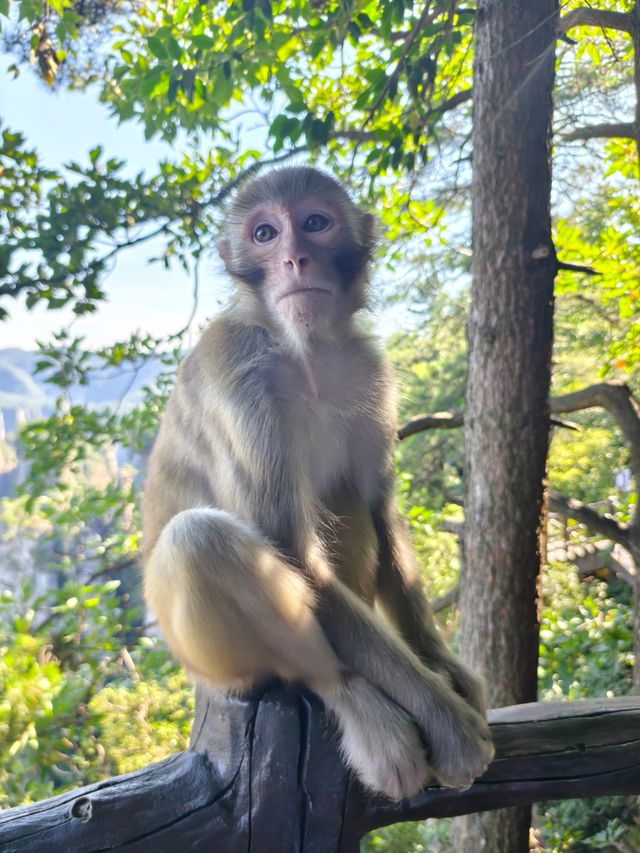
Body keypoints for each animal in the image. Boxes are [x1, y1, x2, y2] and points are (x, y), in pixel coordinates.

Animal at [144, 165, 496, 800]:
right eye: (264, 234)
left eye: (314, 223)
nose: (295, 259)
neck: (303, 351)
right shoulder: (235, 365)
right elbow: (291, 549)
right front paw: (449, 725)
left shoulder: (368, 368)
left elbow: (381, 505)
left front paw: (444, 668)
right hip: (209, 666)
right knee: (200, 540)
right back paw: (349, 696)